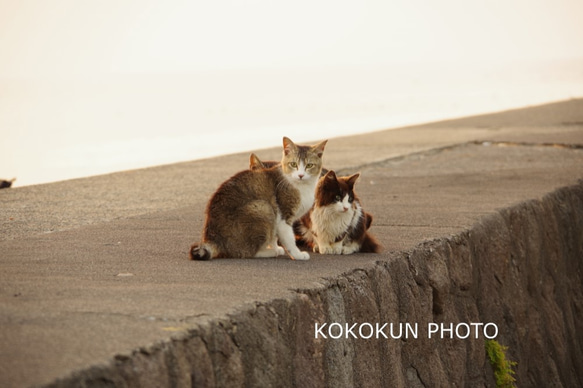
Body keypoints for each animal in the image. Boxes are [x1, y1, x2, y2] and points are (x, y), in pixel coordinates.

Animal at [192, 136, 328, 260]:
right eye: (293, 164)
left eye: (309, 165)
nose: (301, 175)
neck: (302, 186)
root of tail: (212, 239)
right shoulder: (283, 216)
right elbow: (289, 239)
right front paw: (297, 254)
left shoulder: (276, 219)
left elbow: (274, 236)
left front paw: (276, 246)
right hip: (262, 208)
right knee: (247, 252)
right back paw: (270, 252)